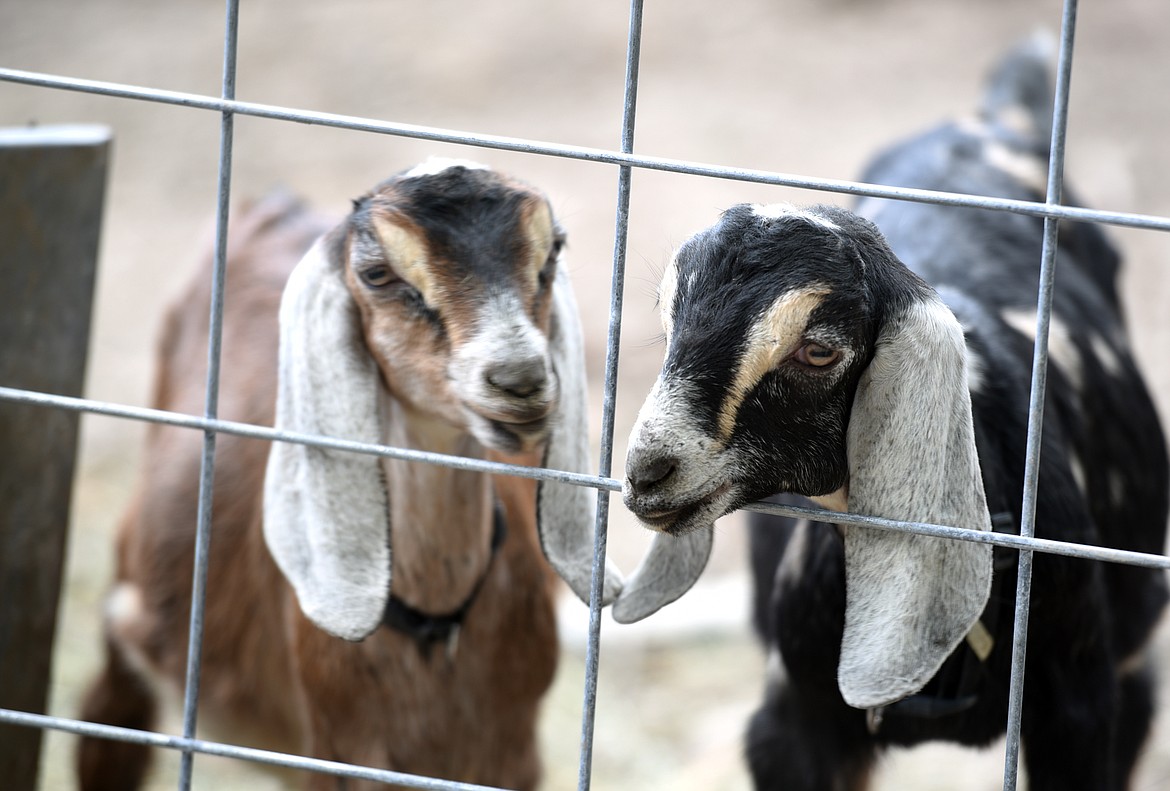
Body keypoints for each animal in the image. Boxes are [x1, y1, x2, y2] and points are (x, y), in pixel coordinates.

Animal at [617, 40, 1165, 786]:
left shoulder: (1080, 713)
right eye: (668, 317)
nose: (648, 472)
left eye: (818, 349)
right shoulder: (792, 717)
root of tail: (987, 115)